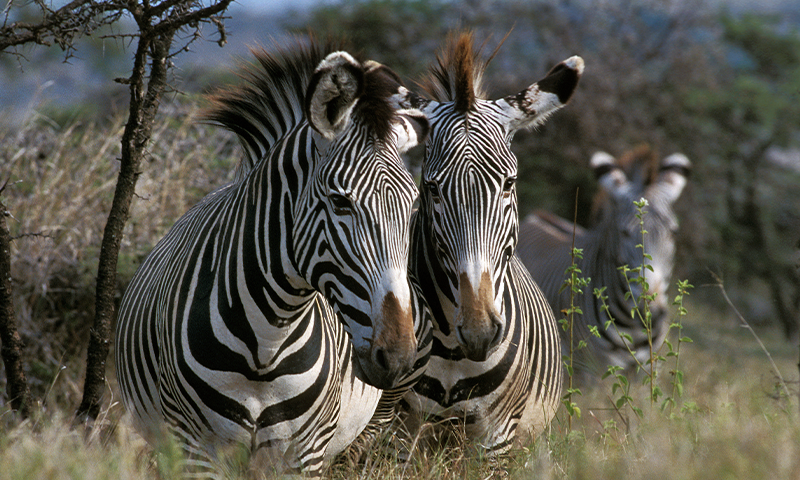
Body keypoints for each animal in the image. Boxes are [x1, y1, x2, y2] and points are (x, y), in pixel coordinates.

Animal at [114, 39, 432, 477]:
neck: (265, 345)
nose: (397, 354)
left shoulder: (304, 453)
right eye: (340, 202)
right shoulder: (197, 449)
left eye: (412, 204)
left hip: (385, 406)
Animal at [396, 33, 584, 454]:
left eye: (509, 184)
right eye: (431, 188)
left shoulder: (496, 438)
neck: (453, 353)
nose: (479, 332)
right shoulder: (392, 431)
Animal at [516, 146, 691, 378]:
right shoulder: (594, 374)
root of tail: (537, 215)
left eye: (674, 232)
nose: (652, 311)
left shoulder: (650, 371)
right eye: (624, 232)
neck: (633, 327)